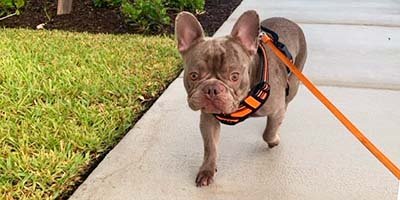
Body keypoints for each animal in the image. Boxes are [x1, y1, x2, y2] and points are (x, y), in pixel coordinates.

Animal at [173, 9, 308, 187]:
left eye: (235, 76)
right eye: (194, 76)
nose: (212, 88)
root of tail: (287, 20)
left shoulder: (276, 110)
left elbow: (268, 132)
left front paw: (273, 140)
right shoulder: (208, 119)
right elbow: (210, 147)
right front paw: (207, 170)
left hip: (294, 82)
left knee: (287, 100)